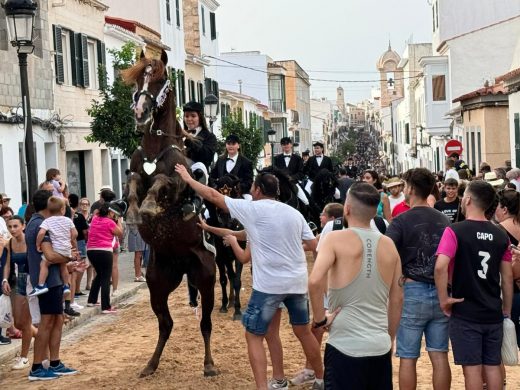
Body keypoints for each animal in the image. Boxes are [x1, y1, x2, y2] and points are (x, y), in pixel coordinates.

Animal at [122, 48, 217, 378]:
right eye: (138, 78)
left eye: (161, 79)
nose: (140, 111)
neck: (155, 149)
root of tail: (183, 264)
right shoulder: (134, 175)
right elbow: (134, 185)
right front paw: (133, 212)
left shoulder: (176, 182)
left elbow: (162, 181)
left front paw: (150, 206)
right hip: (158, 281)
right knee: (166, 324)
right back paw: (150, 365)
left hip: (206, 276)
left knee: (206, 323)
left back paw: (209, 365)